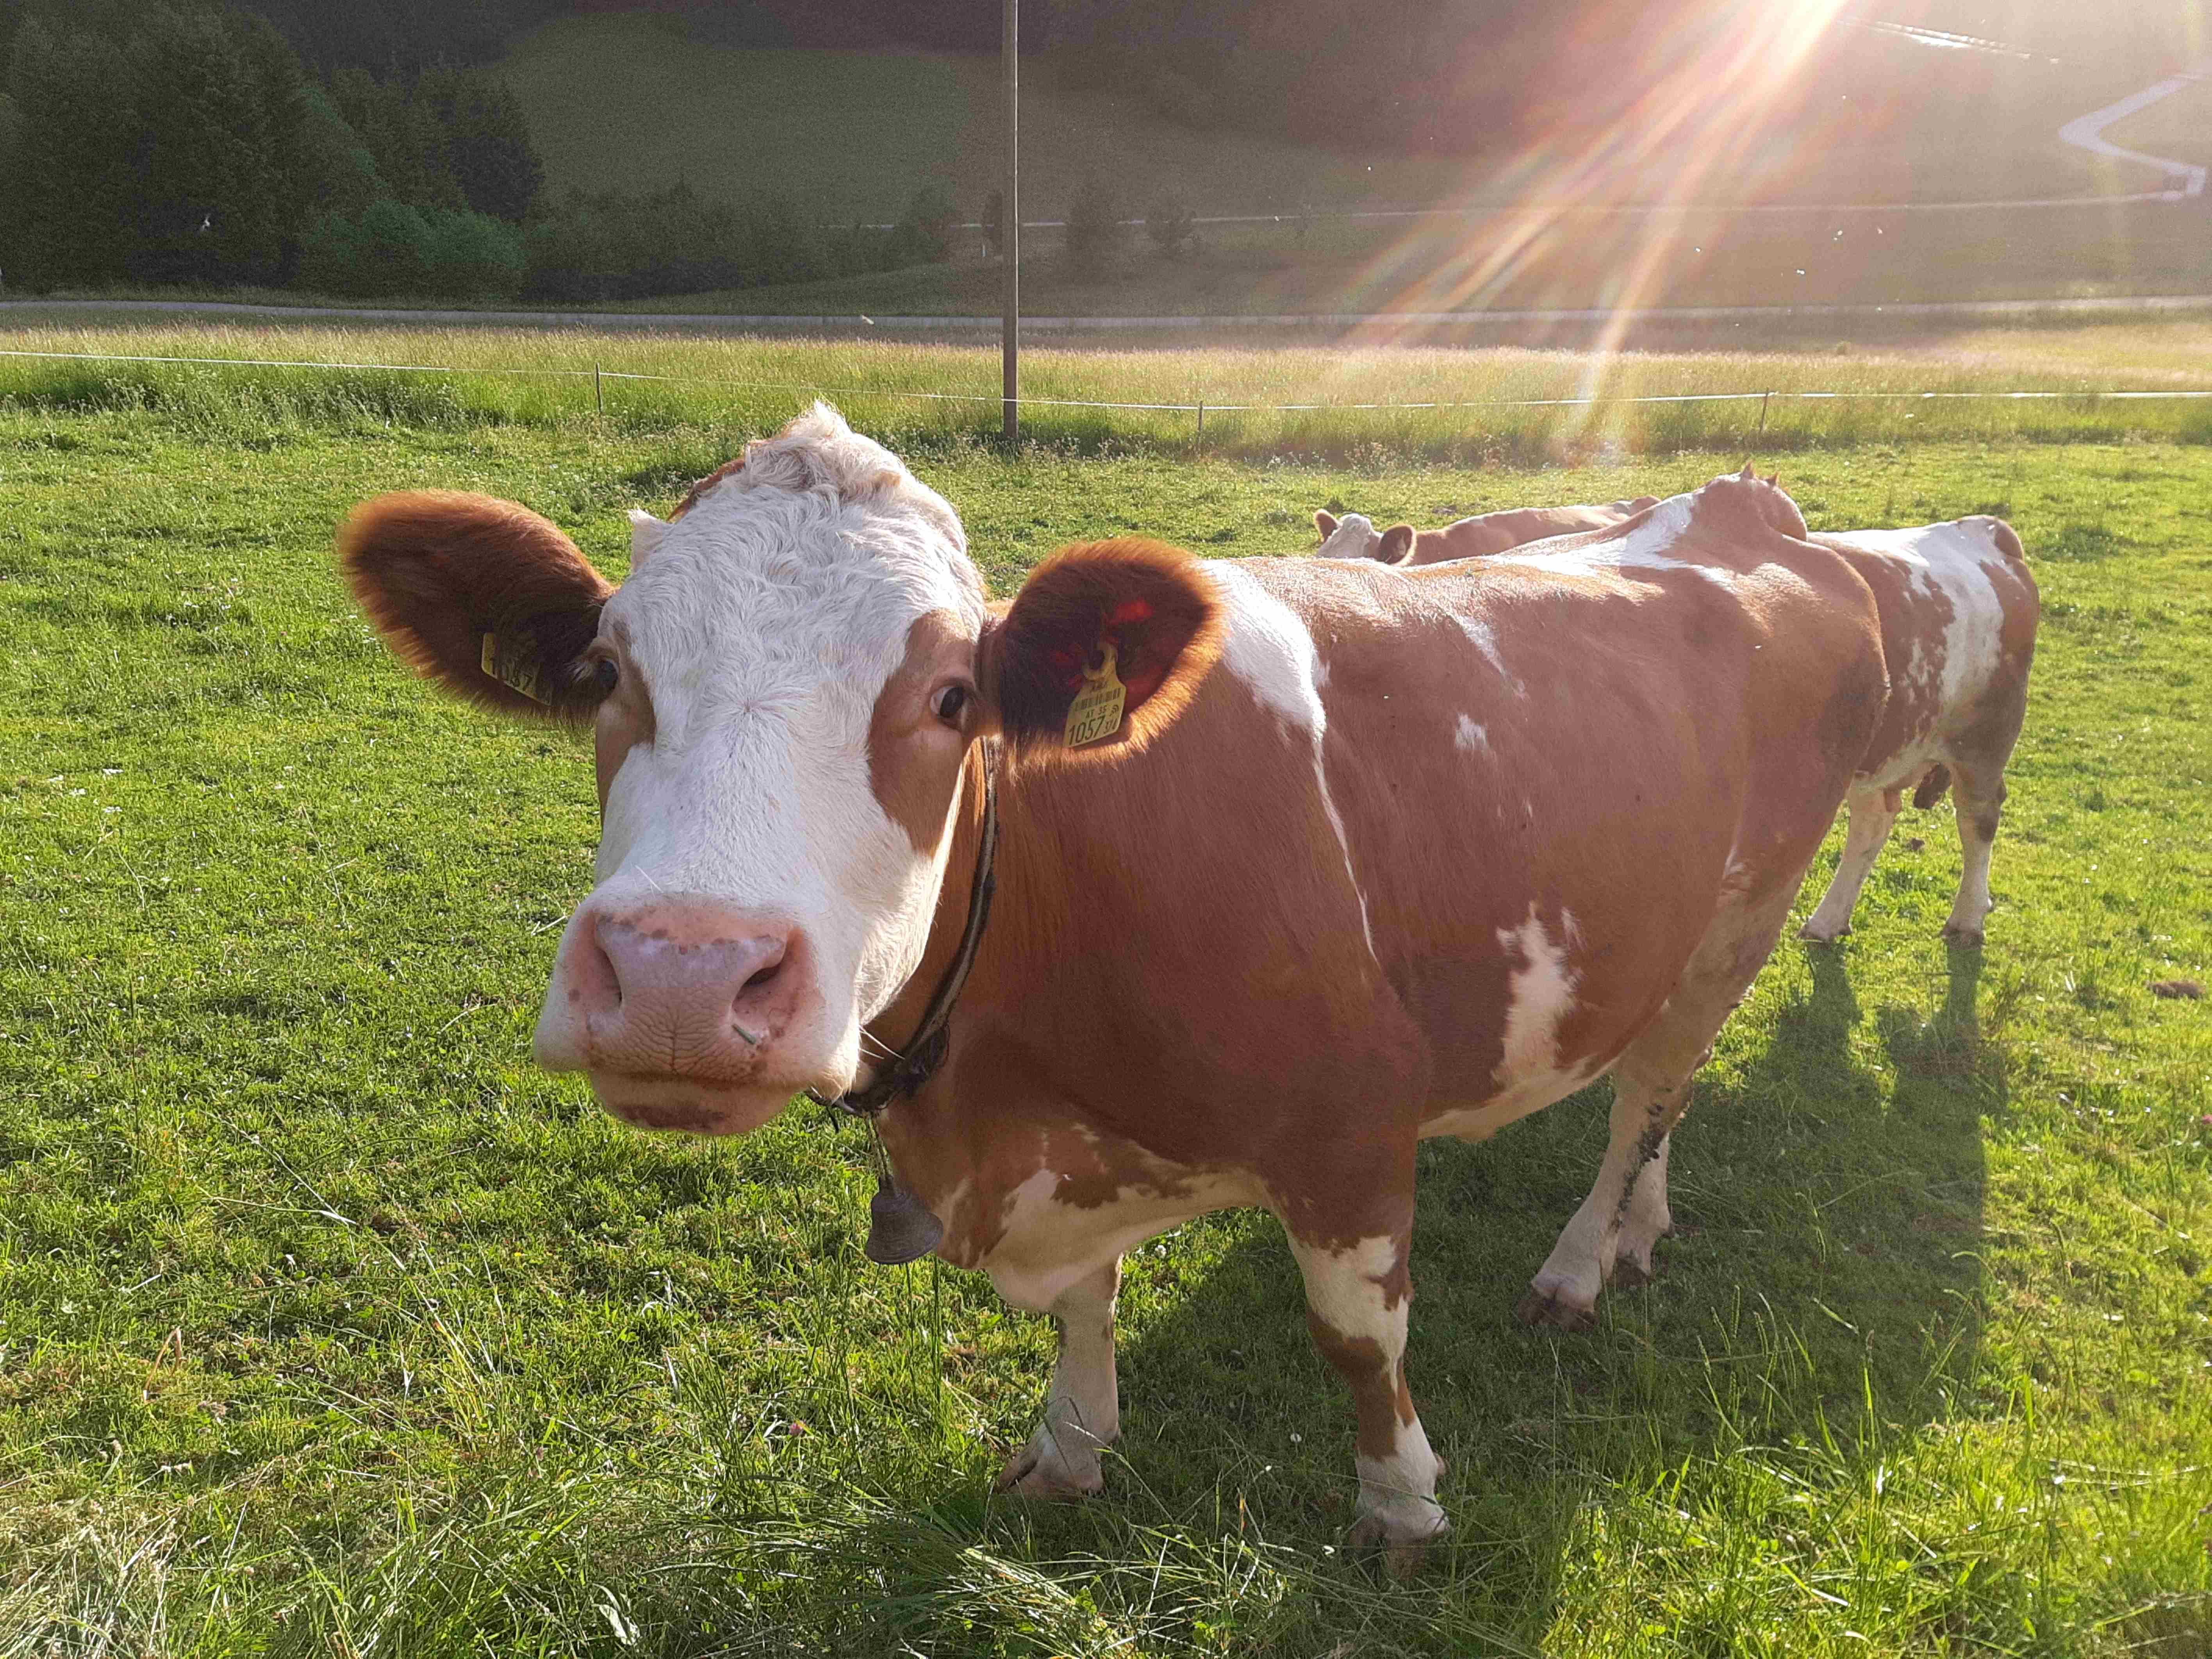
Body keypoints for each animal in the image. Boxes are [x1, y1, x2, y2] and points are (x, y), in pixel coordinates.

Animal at [340, 407, 1887, 1572]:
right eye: (610, 669)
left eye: (952, 698)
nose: (680, 972)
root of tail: (1750, 516)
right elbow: (1084, 1303)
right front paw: (1068, 1445)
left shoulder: (1347, 1128)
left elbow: (1357, 1338)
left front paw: (1398, 1507)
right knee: (1659, 1094)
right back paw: (1639, 1231)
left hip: (1736, 917)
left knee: (1646, 1094)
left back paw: (1579, 1258)